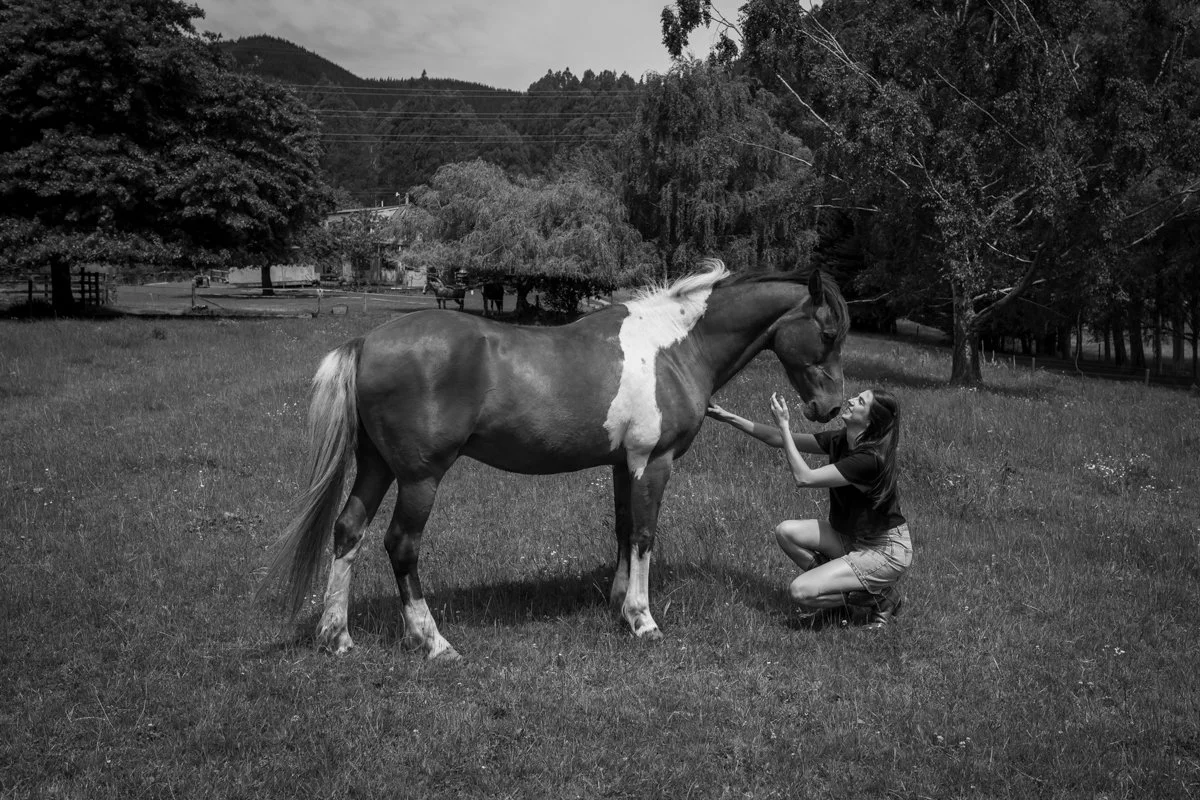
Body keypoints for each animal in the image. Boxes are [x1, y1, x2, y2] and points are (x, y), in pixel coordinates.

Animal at [258, 259, 849, 661]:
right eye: (828, 332)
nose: (830, 409)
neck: (673, 348)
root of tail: (367, 341)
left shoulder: (622, 464)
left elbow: (623, 529)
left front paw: (617, 604)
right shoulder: (652, 461)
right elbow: (644, 535)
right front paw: (643, 619)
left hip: (378, 466)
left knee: (348, 531)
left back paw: (337, 636)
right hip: (420, 477)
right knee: (400, 546)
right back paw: (433, 642)